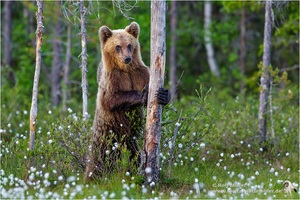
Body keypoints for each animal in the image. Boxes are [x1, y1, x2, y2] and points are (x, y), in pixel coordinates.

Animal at [84, 21, 171, 180]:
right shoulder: (112, 79)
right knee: (99, 157)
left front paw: (163, 94)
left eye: (129, 45)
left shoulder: (140, 73)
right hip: (107, 132)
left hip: (128, 139)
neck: (125, 69)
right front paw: (144, 95)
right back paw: (92, 176)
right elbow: (111, 99)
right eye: (117, 46)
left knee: (133, 154)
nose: (127, 58)